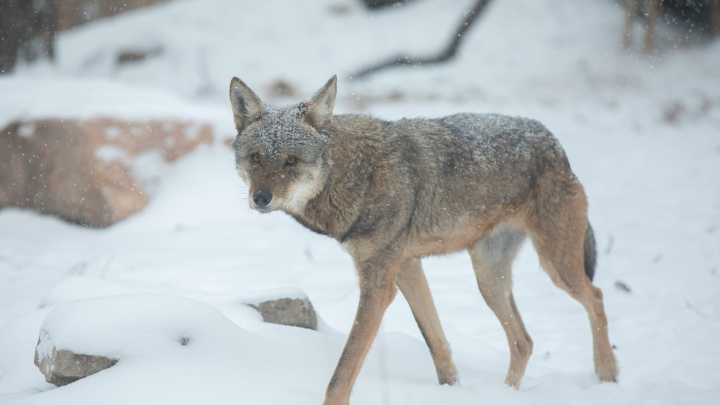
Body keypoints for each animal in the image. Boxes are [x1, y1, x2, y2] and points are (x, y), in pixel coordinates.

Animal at [229, 75, 618, 405]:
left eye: (291, 161)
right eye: (256, 158)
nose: (260, 198)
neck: (357, 175)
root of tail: (553, 141)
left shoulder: (378, 285)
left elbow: (343, 370)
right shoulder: (407, 268)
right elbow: (438, 345)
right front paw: (451, 390)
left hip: (557, 268)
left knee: (596, 297)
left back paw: (608, 376)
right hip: (490, 282)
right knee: (524, 341)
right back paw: (506, 393)